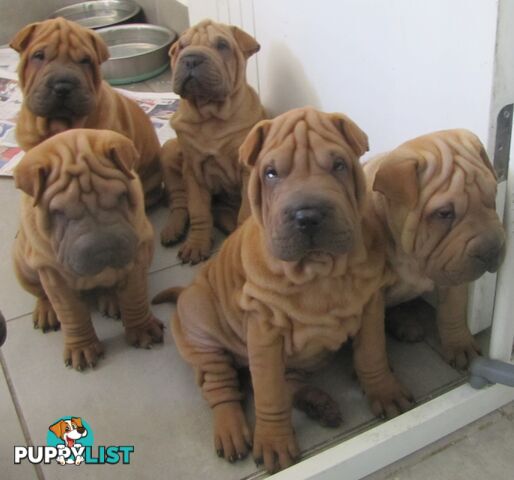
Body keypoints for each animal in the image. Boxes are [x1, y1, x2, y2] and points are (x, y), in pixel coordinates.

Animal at [13, 128, 162, 372]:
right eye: (59, 212)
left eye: (121, 196)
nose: (104, 248)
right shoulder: (53, 274)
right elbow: (72, 313)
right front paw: (82, 348)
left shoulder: (138, 254)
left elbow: (135, 295)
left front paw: (142, 329)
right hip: (22, 267)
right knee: (41, 293)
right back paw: (47, 311)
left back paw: (112, 298)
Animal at [153, 108, 412, 472]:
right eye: (271, 173)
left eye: (339, 165)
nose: (308, 215)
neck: (319, 272)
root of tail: (185, 292)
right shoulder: (263, 333)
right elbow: (269, 391)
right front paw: (274, 443)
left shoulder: (371, 306)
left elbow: (372, 353)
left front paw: (384, 390)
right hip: (203, 339)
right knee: (223, 390)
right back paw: (231, 431)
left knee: (291, 383)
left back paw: (319, 403)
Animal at [159, 18, 264, 262]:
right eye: (182, 46)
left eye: (222, 45)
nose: (191, 58)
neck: (210, 116)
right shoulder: (193, 171)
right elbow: (198, 210)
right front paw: (196, 243)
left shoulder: (247, 170)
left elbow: (245, 210)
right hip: (169, 151)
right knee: (180, 202)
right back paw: (173, 228)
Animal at [364, 129, 504, 370]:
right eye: (444, 213)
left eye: (493, 195)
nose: (491, 251)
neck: (408, 255)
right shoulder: (369, 298)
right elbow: (372, 342)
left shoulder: (452, 270)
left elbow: (453, 311)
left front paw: (460, 345)